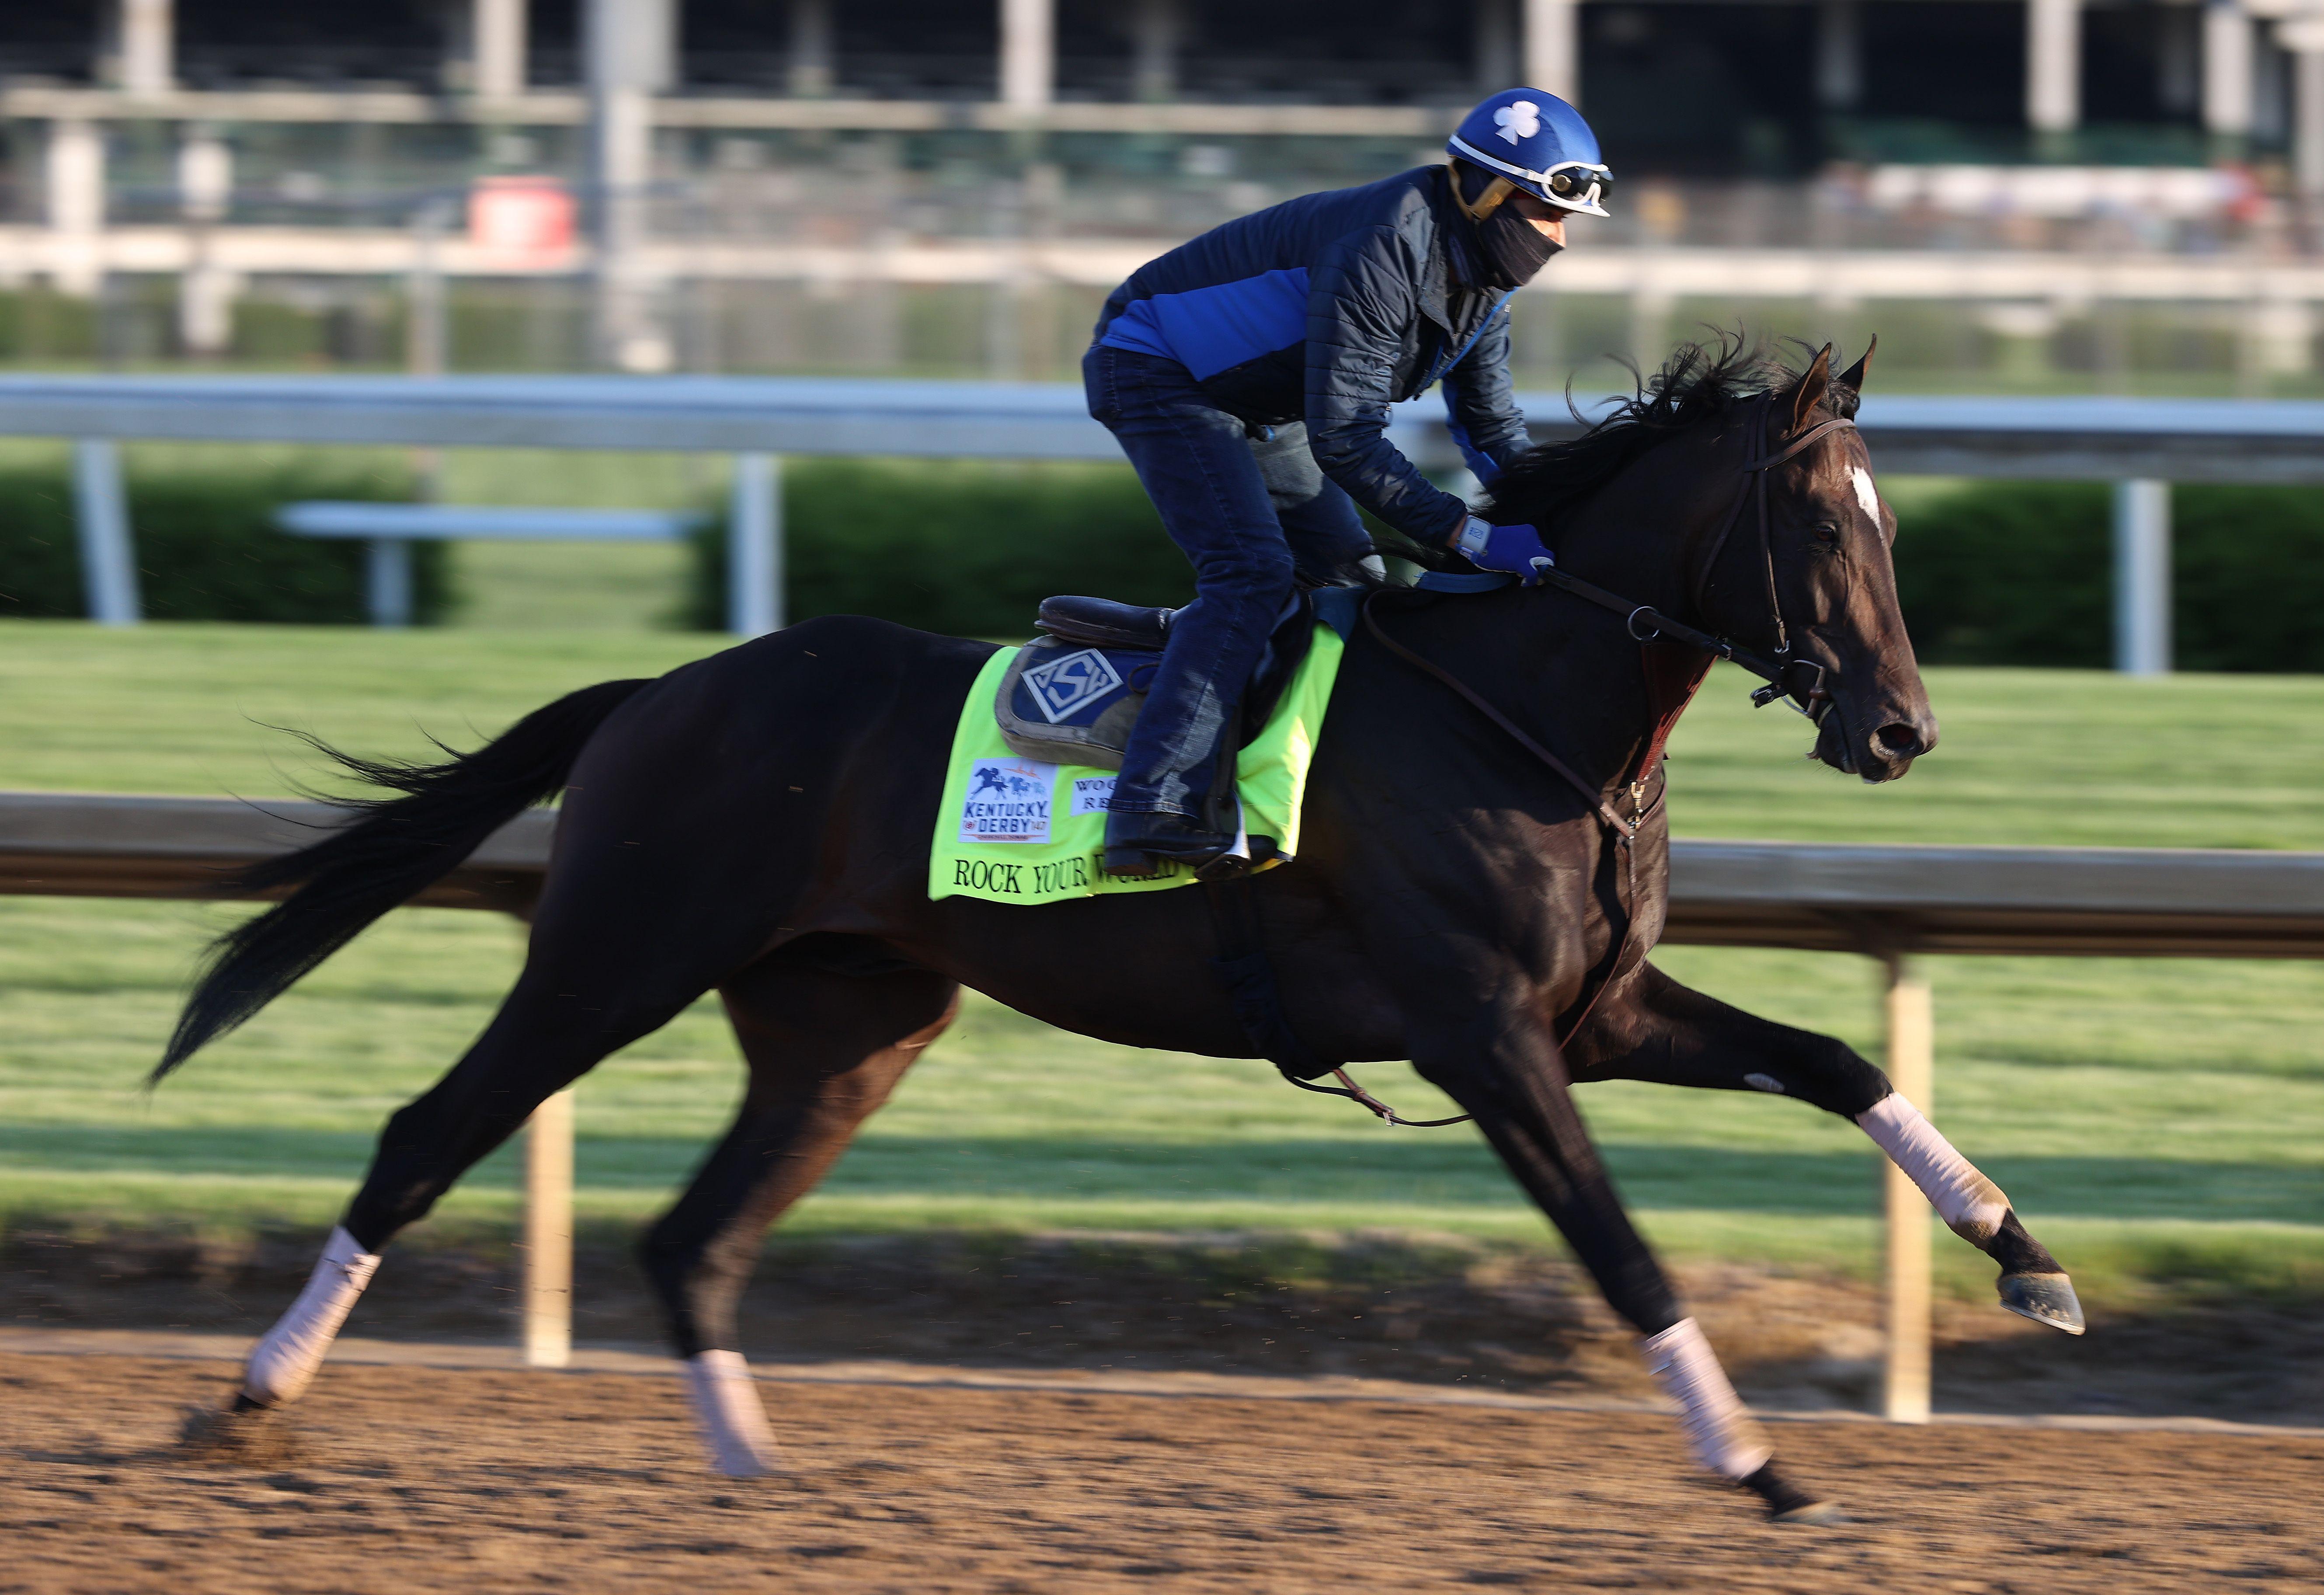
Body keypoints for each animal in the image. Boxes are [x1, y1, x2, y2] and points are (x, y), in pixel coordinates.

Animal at [158, 337, 2080, 1522]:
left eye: (1892, 524)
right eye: (1820, 520)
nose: (1900, 730)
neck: (1523, 714)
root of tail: (662, 691)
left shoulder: (1595, 1009)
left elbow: (1831, 1056)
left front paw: (2019, 1251)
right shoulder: (1482, 1030)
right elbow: (1619, 1248)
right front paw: (1758, 1465)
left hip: (849, 1021)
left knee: (693, 1237)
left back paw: (759, 1470)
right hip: (616, 952)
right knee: (426, 1135)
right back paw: (245, 1400)